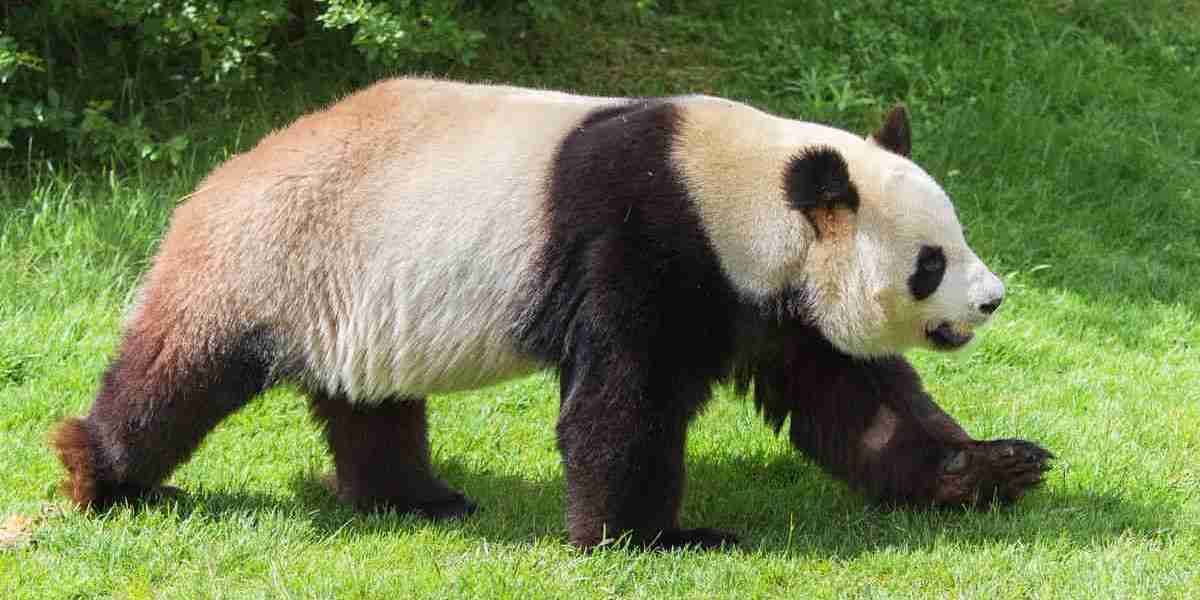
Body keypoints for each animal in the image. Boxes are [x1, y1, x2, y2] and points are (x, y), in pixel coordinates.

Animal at [54, 78, 1051, 549]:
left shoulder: (774, 299)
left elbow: (856, 399)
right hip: (268, 259)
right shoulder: (646, 238)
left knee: (370, 403)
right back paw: (98, 472)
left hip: (357, 293)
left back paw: (416, 498)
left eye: (957, 238)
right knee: (177, 377)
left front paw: (993, 468)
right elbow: (624, 399)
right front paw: (655, 538)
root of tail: (210, 181)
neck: (745, 192)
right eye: (930, 263)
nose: (993, 298)